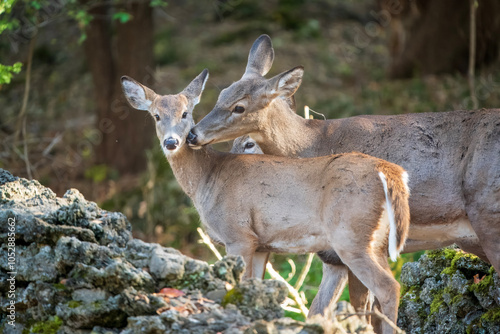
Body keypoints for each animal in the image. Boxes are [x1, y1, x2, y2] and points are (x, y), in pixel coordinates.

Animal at [121, 70, 410, 334]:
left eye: (185, 113)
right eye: (156, 116)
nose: (172, 141)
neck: (209, 177)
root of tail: (390, 172)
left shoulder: (238, 235)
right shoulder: (260, 245)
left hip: (350, 235)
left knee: (389, 287)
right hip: (375, 240)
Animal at [187, 34, 500, 324]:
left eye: (239, 108)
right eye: (220, 95)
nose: (192, 134)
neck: (313, 143)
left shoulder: (349, 247)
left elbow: (362, 310)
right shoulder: (332, 257)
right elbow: (319, 311)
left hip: (488, 217)